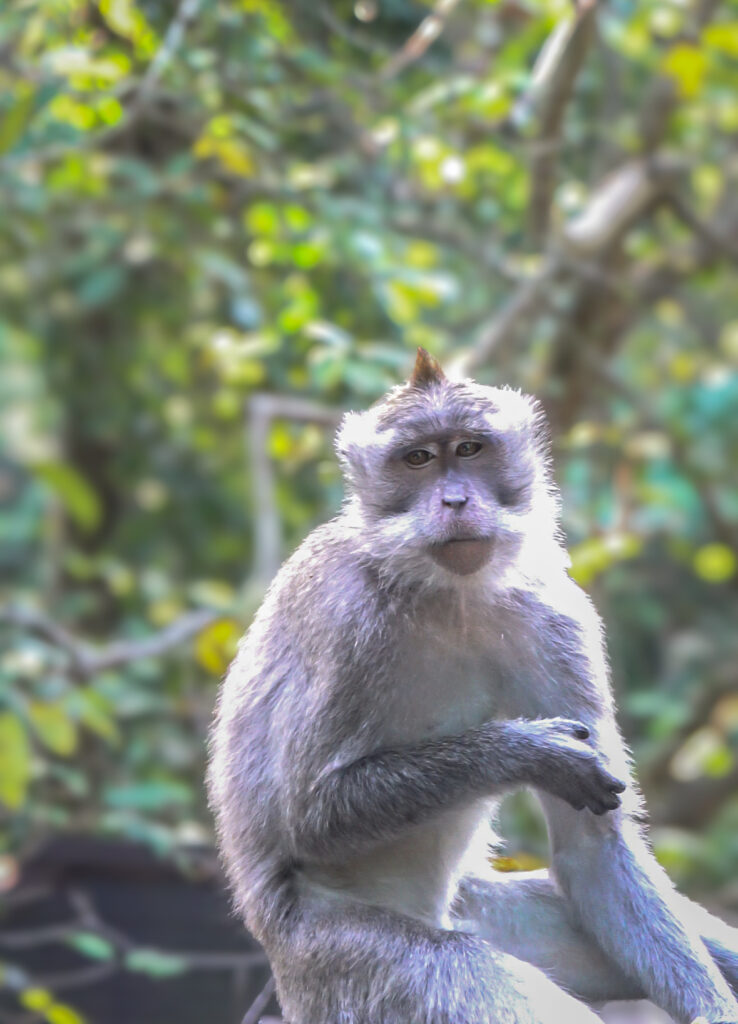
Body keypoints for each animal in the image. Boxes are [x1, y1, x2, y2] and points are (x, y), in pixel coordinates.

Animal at [208, 348, 738, 1024]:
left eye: (468, 448)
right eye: (417, 459)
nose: (455, 500)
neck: (446, 595)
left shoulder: (553, 615)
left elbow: (593, 848)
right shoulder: (345, 620)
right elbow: (311, 816)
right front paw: (525, 753)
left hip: (474, 911)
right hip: (347, 963)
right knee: (460, 968)